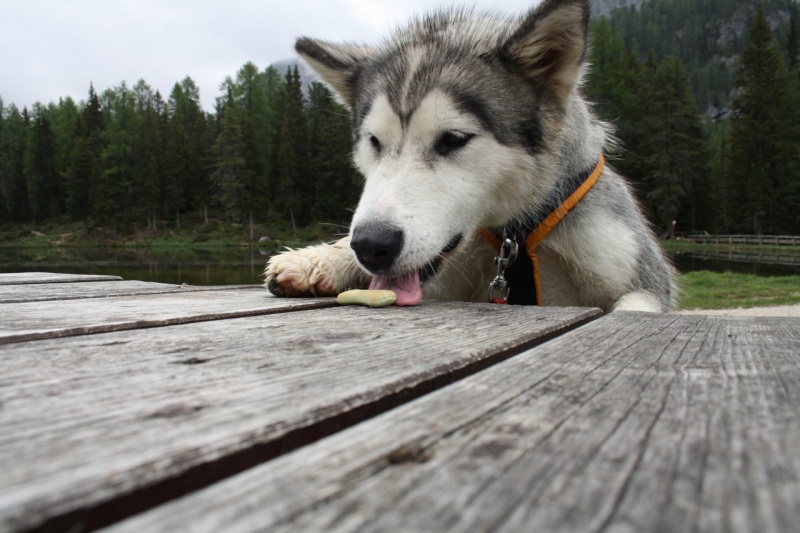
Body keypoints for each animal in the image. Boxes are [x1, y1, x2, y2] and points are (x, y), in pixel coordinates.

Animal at [264, 0, 676, 312]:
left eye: (454, 139)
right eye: (374, 141)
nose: (370, 245)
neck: (516, 233)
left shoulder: (644, 281)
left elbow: (633, 307)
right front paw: (323, 257)